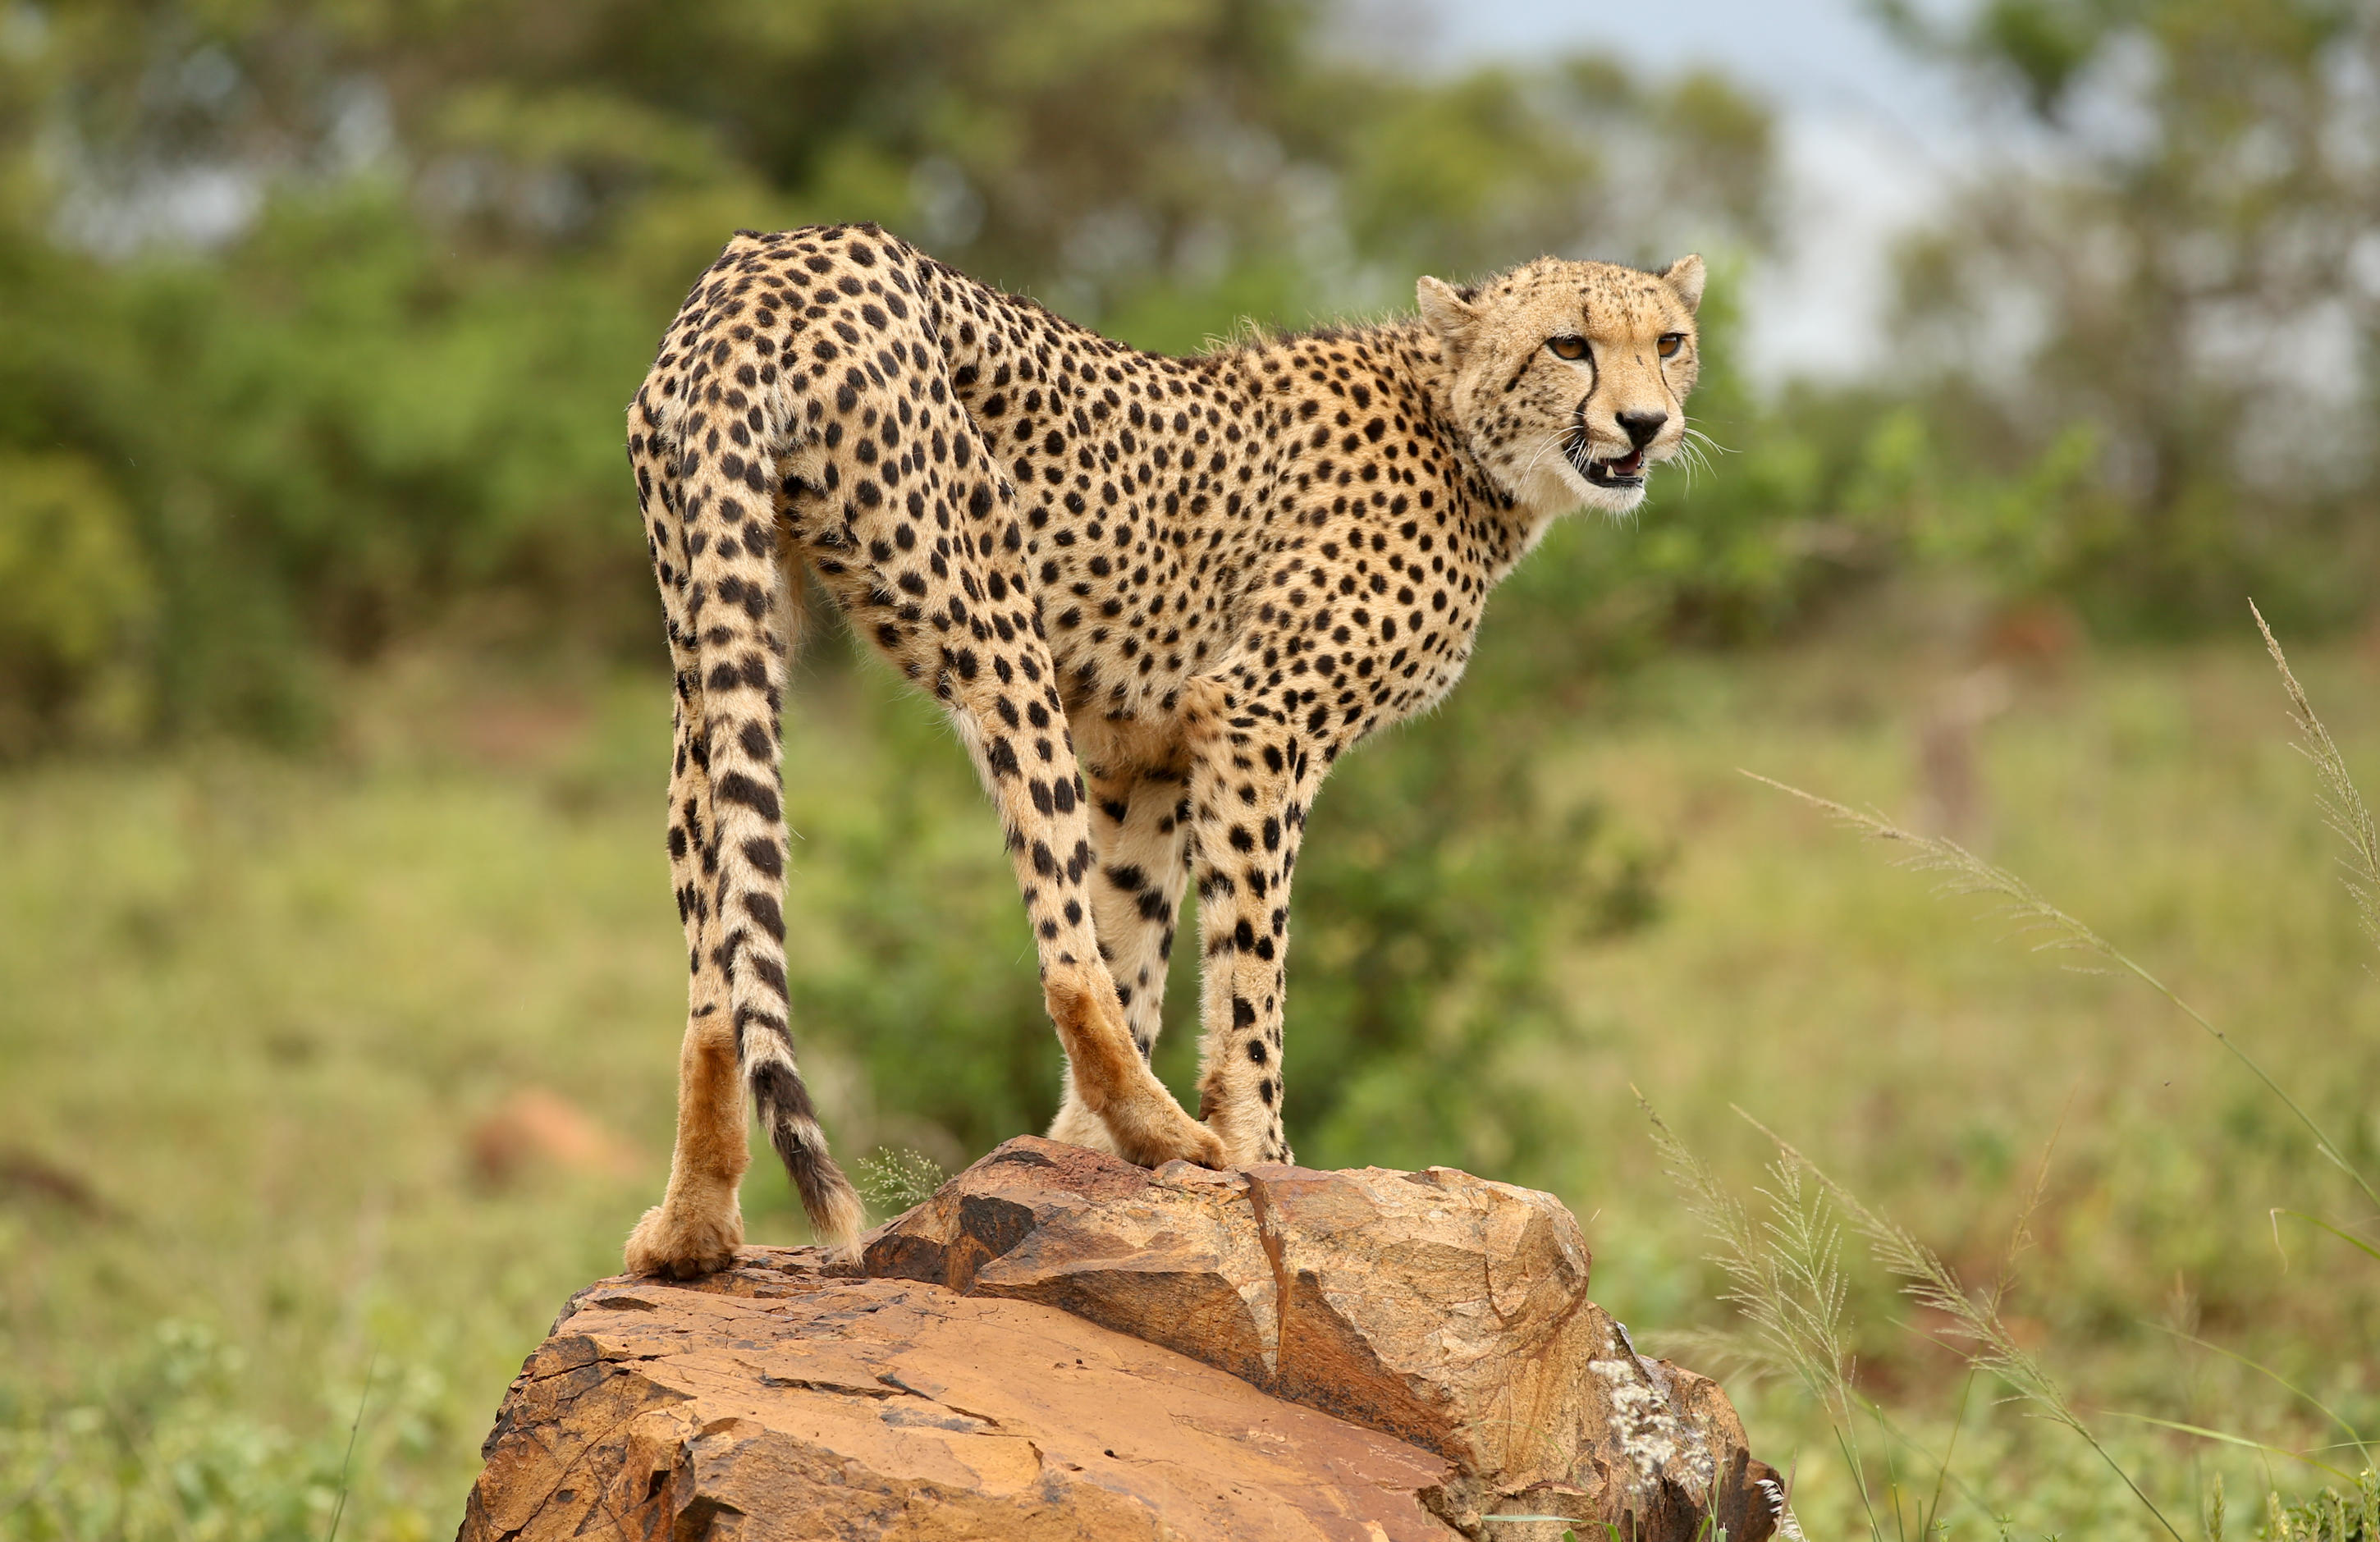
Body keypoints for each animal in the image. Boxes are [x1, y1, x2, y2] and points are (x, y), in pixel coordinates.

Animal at [620, 222, 1705, 1277]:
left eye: (1667, 343)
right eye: (1567, 345)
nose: (1645, 425)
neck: (1461, 432)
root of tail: (766, 262)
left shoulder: (1148, 759)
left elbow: (1135, 932)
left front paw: (1077, 1157)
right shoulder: (1258, 715)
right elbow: (1245, 969)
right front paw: (1256, 1152)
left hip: (712, 635)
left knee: (718, 969)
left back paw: (689, 1231)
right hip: (993, 623)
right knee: (1064, 961)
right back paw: (1179, 1136)